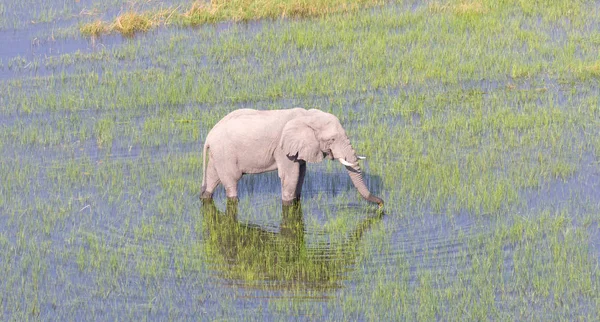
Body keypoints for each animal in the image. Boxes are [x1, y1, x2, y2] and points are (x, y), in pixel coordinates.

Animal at [199, 107, 382, 205]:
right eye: (332, 139)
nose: (381, 203)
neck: (307, 115)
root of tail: (209, 136)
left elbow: (301, 173)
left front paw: (295, 200)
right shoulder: (282, 149)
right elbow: (290, 175)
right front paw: (288, 203)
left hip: (218, 154)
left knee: (213, 177)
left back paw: (204, 197)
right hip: (225, 152)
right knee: (231, 181)